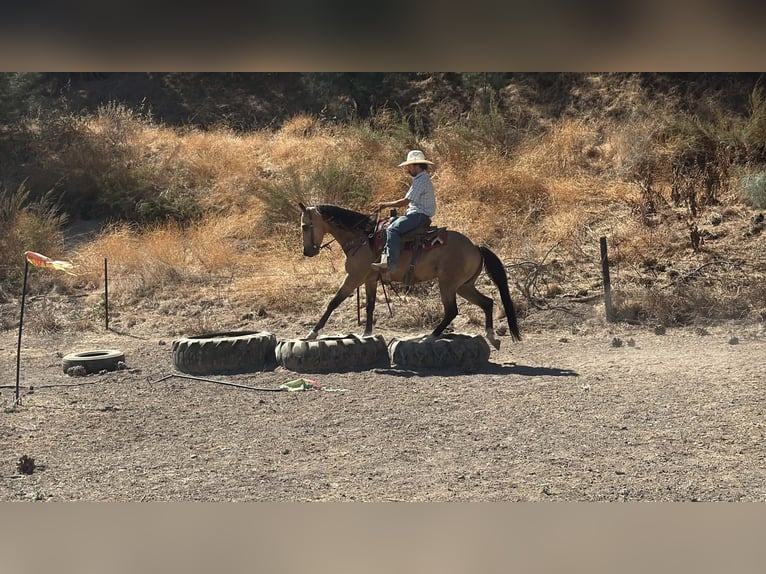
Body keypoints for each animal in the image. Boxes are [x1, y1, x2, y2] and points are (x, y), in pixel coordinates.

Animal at [298, 202, 521, 349]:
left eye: (305, 226)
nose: (307, 252)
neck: (362, 238)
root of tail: (475, 246)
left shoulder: (354, 277)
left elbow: (333, 302)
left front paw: (312, 333)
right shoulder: (369, 279)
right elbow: (370, 305)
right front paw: (367, 333)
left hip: (448, 284)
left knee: (452, 310)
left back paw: (430, 337)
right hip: (464, 286)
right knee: (487, 302)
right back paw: (491, 337)